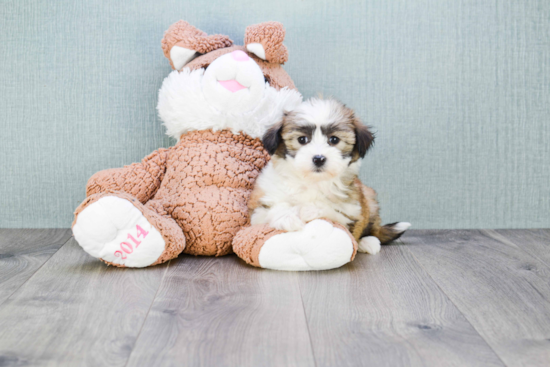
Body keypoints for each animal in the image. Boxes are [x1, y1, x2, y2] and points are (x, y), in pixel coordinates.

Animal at [250, 97, 410, 256]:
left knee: (372, 228)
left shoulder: (352, 211)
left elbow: (335, 212)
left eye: (334, 140)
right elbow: (272, 209)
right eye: (302, 139)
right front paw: (287, 217)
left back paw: (368, 241)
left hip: (369, 199)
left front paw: (310, 209)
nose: (319, 158)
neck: (313, 181)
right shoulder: (257, 210)